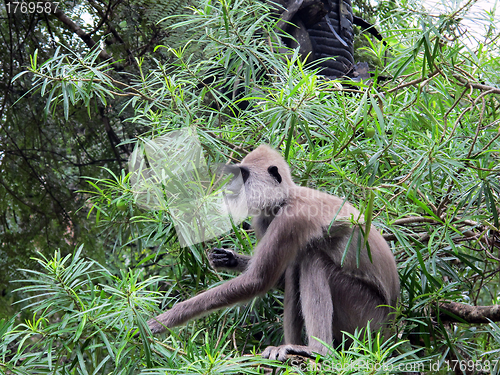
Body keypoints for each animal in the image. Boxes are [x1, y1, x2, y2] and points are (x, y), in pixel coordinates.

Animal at [146, 145, 400, 362]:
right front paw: (229, 259)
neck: (286, 198)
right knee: (295, 268)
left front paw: (165, 319)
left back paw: (319, 351)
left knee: (313, 261)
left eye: (243, 175)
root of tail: (392, 323)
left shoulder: (292, 218)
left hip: (366, 315)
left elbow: (258, 280)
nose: (231, 186)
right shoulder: (263, 219)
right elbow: (275, 278)